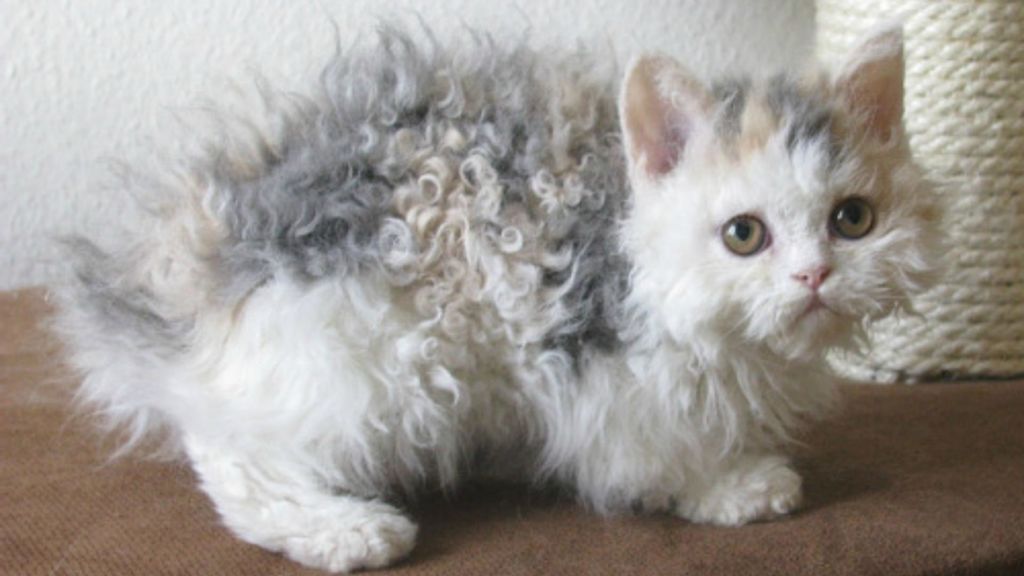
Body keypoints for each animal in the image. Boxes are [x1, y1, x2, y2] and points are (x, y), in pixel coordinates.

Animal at [53, 24, 940, 573]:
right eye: (744, 235)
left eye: (852, 221)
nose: (814, 276)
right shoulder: (601, 371)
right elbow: (651, 454)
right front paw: (734, 486)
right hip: (374, 352)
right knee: (232, 454)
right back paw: (345, 531)